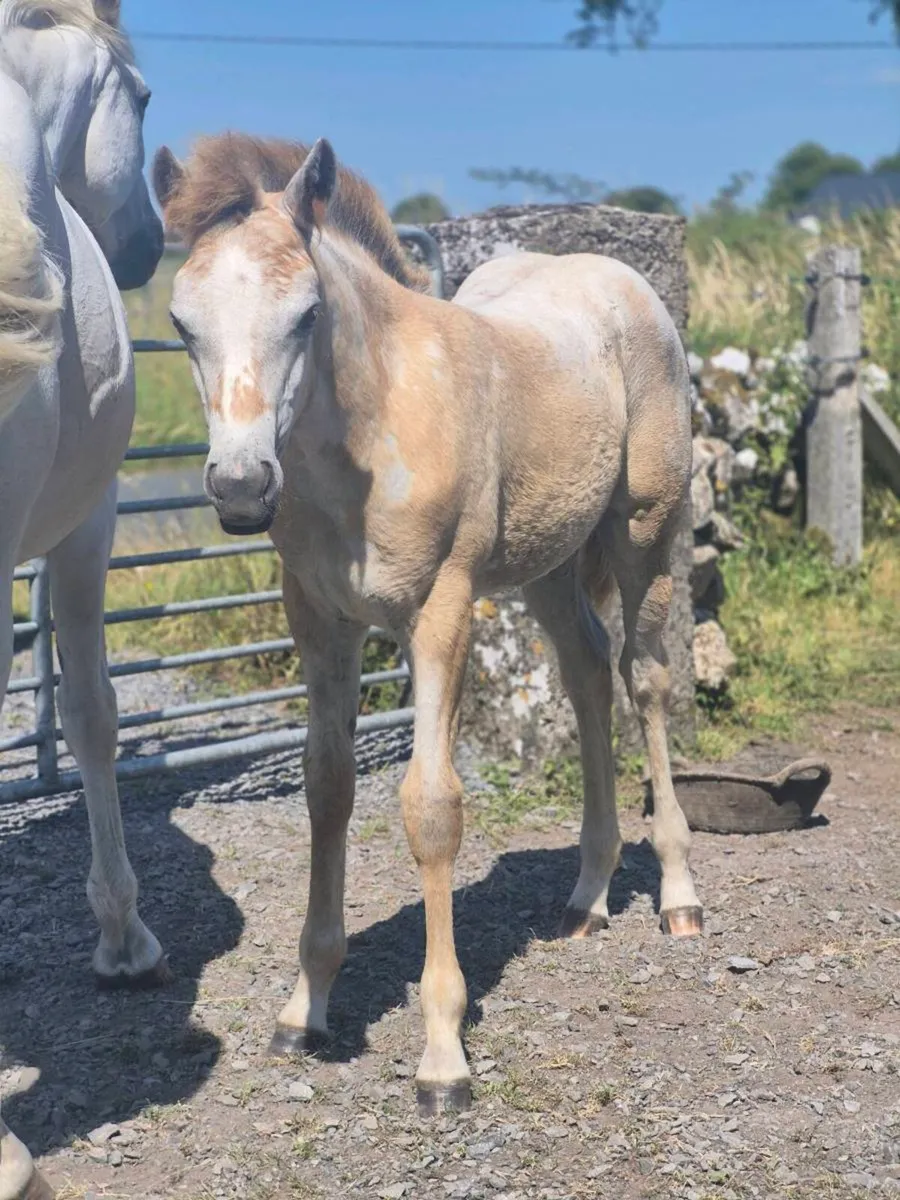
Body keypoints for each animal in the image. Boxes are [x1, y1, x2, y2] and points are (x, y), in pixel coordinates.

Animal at [152, 133, 701, 1116]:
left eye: (306, 314)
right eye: (180, 322)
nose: (242, 489)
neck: (371, 435)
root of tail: (620, 281)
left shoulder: (440, 609)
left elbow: (431, 806)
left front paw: (443, 1055)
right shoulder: (319, 620)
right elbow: (327, 786)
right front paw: (306, 1007)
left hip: (645, 529)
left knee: (645, 681)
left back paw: (677, 892)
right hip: (548, 562)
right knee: (587, 672)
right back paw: (587, 895)